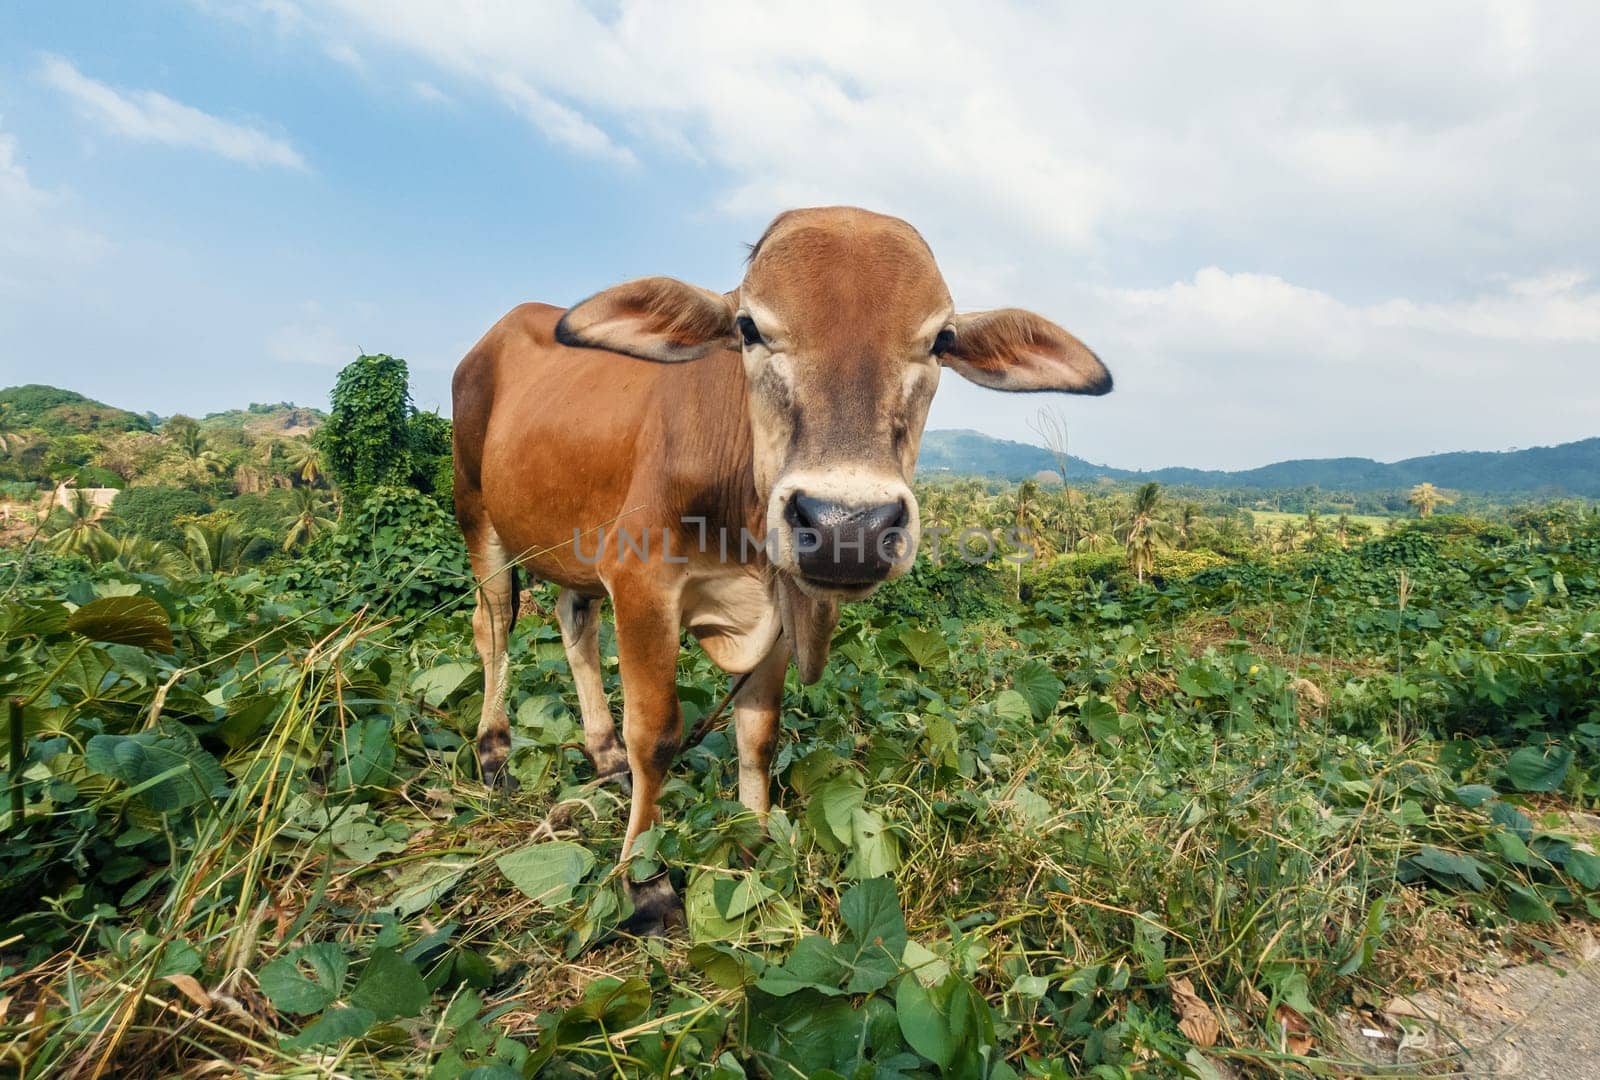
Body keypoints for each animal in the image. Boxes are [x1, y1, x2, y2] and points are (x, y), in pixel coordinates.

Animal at [451, 206, 1100, 934]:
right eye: (749, 327)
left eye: (942, 340)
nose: (848, 528)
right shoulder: (643, 584)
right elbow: (657, 734)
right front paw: (645, 881)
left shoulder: (783, 604)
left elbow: (758, 735)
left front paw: (753, 846)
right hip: (475, 508)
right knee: (494, 625)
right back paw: (494, 753)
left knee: (573, 619)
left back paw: (604, 754)